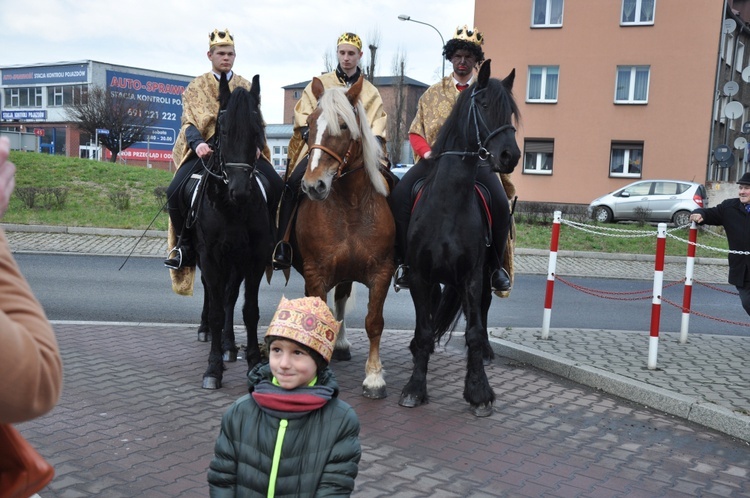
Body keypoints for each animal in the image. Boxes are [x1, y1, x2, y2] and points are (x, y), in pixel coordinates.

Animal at [191, 77, 280, 390]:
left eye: (257, 132)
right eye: (225, 130)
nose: (239, 191)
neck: (231, 209)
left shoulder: (253, 259)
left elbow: (248, 310)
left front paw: (253, 361)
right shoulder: (210, 257)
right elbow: (217, 311)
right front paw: (212, 368)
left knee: (229, 296)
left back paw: (230, 346)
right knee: (211, 293)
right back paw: (207, 332)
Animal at [402, 61, 520, 416]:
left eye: (510, 113)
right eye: (482, 105)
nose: (510, 156)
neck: (447, 205)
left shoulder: (472, 276)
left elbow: (474, 333)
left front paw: (479, 392)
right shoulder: (420, 276)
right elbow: (424, 330)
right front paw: (415, 388)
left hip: (488, 276)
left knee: (481, 313)